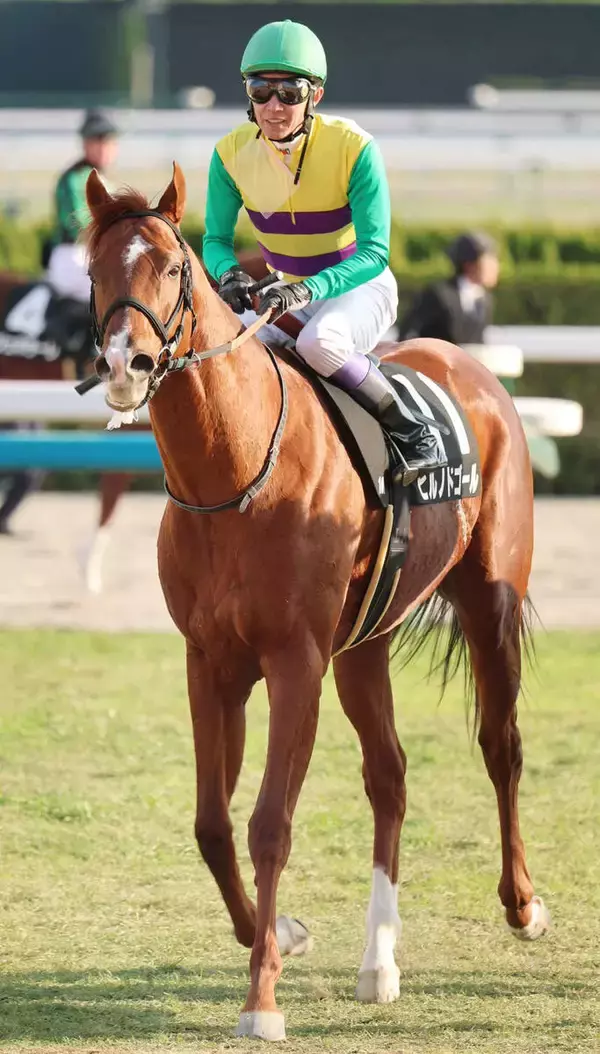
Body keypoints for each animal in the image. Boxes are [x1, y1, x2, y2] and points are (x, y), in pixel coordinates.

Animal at [84, 162, 549, 1041]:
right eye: (93, 268)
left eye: (172, 267)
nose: (126, 363)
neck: (234, 476)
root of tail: (468, 367)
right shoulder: (211, 661)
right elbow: (212, 823)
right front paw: (282, 935)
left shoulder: (295, 661)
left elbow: (270, 823)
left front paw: (262, 1001)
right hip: (365, 644)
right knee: (390, 776)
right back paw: (380, 965)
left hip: (488, 601)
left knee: (500, 744)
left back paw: (523, 905)